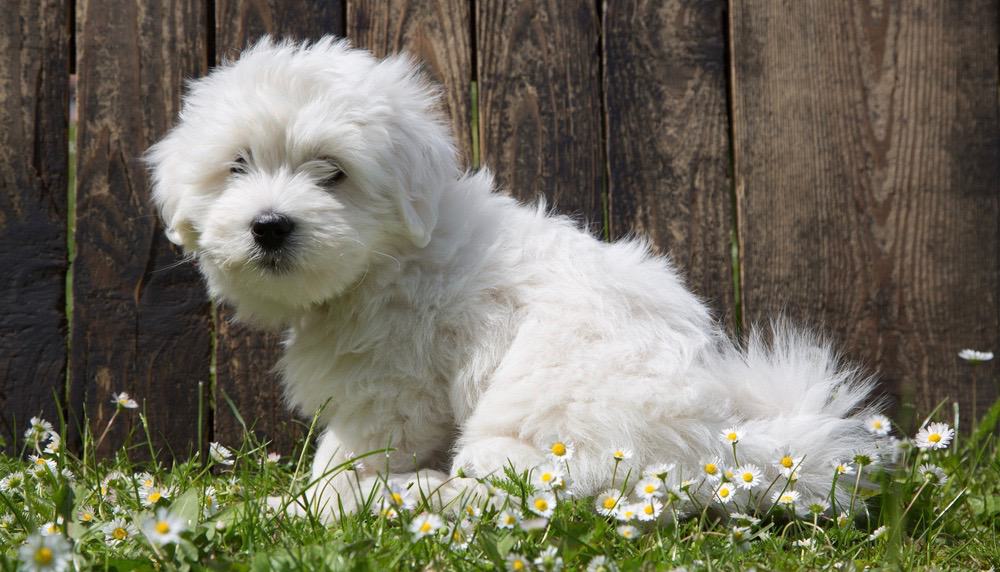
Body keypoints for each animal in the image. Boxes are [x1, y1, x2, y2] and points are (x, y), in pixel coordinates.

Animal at [146, 35, 884, 520]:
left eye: (334, 173)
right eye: (238, 165)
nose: (270, 224)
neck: (389, 255)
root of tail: (729, 444)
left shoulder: (391, 388)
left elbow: (349, 453)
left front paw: (302, 505)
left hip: (549, 422)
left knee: (547, 488)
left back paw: (417, 494)